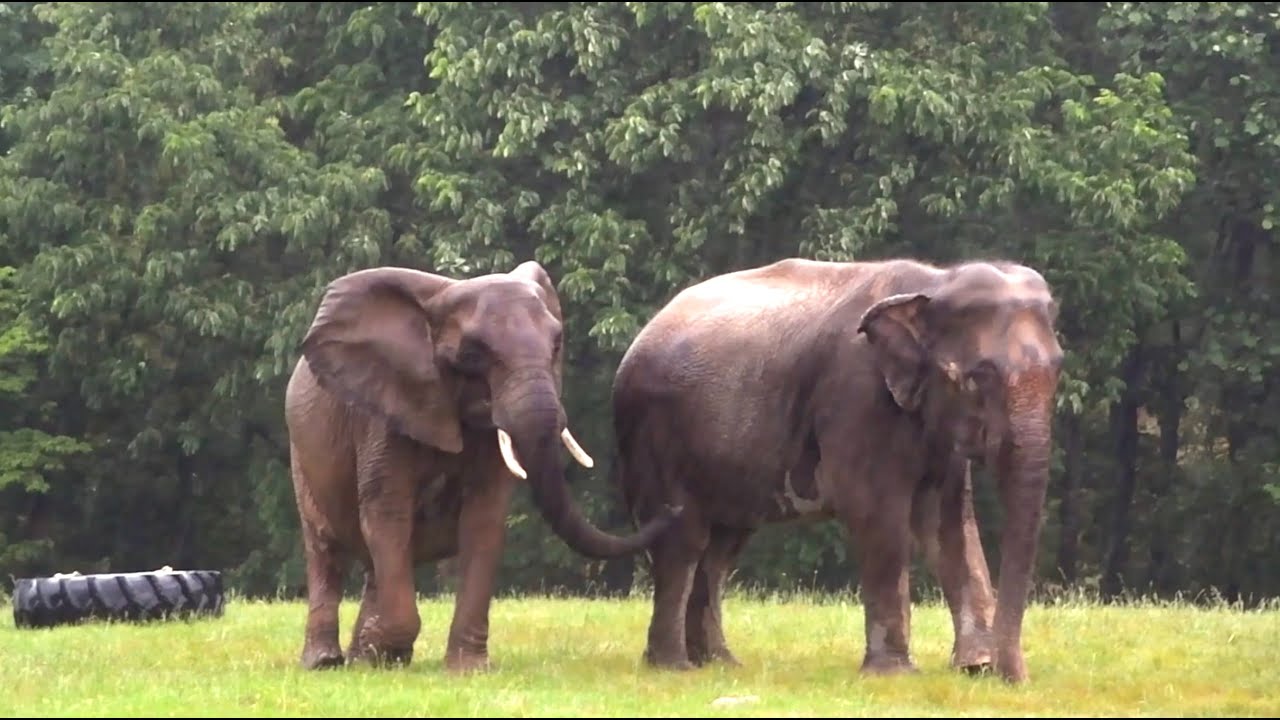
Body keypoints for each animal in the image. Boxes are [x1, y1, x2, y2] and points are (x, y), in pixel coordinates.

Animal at [283, 260, 681, 674]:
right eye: (472, 354)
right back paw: (328, 662)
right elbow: (388, 514)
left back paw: (369, 658)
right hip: (301, 451)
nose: (673, 507)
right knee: (325, 548)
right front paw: (383, 649)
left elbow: (484, 519)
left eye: (557, 345)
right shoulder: (385, 410)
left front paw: (466, 668)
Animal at [610, 256, 1063, 684]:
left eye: (1058, 368)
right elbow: (876, 513)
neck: (935, 283)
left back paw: (718, 663)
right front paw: (895, 674)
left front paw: (975, 666)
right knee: (683, 541)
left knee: (721, 547)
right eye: (978, 377)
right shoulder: (856, 397)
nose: (1012, 677)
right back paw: (673, 667)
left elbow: (947, 523)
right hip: (657, 438)